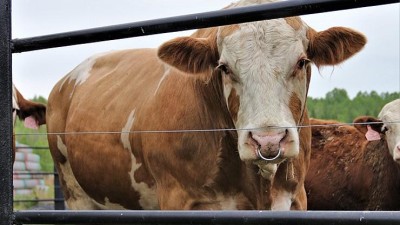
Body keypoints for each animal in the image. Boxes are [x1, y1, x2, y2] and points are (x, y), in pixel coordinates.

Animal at [46, 0, 366, 211]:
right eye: (224, 68)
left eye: (301, 61)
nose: (269, 140)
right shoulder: (176, 198)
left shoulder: (295, 198)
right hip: (75, 193)